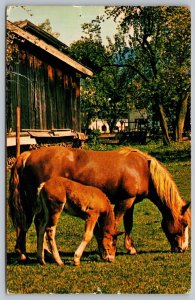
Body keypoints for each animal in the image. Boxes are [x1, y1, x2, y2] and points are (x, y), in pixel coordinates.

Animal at [8, 145, 190, 260]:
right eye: (185, 224)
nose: (183, 248)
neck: (142, 169)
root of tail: (27, 155)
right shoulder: (124, 202)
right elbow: (116, 223)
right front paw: (108, 250)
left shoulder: (131, 203)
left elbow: (128, 224)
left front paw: (130, 248)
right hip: (36, 203)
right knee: (29, 224)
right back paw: (26, 253)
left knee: (35, 224)